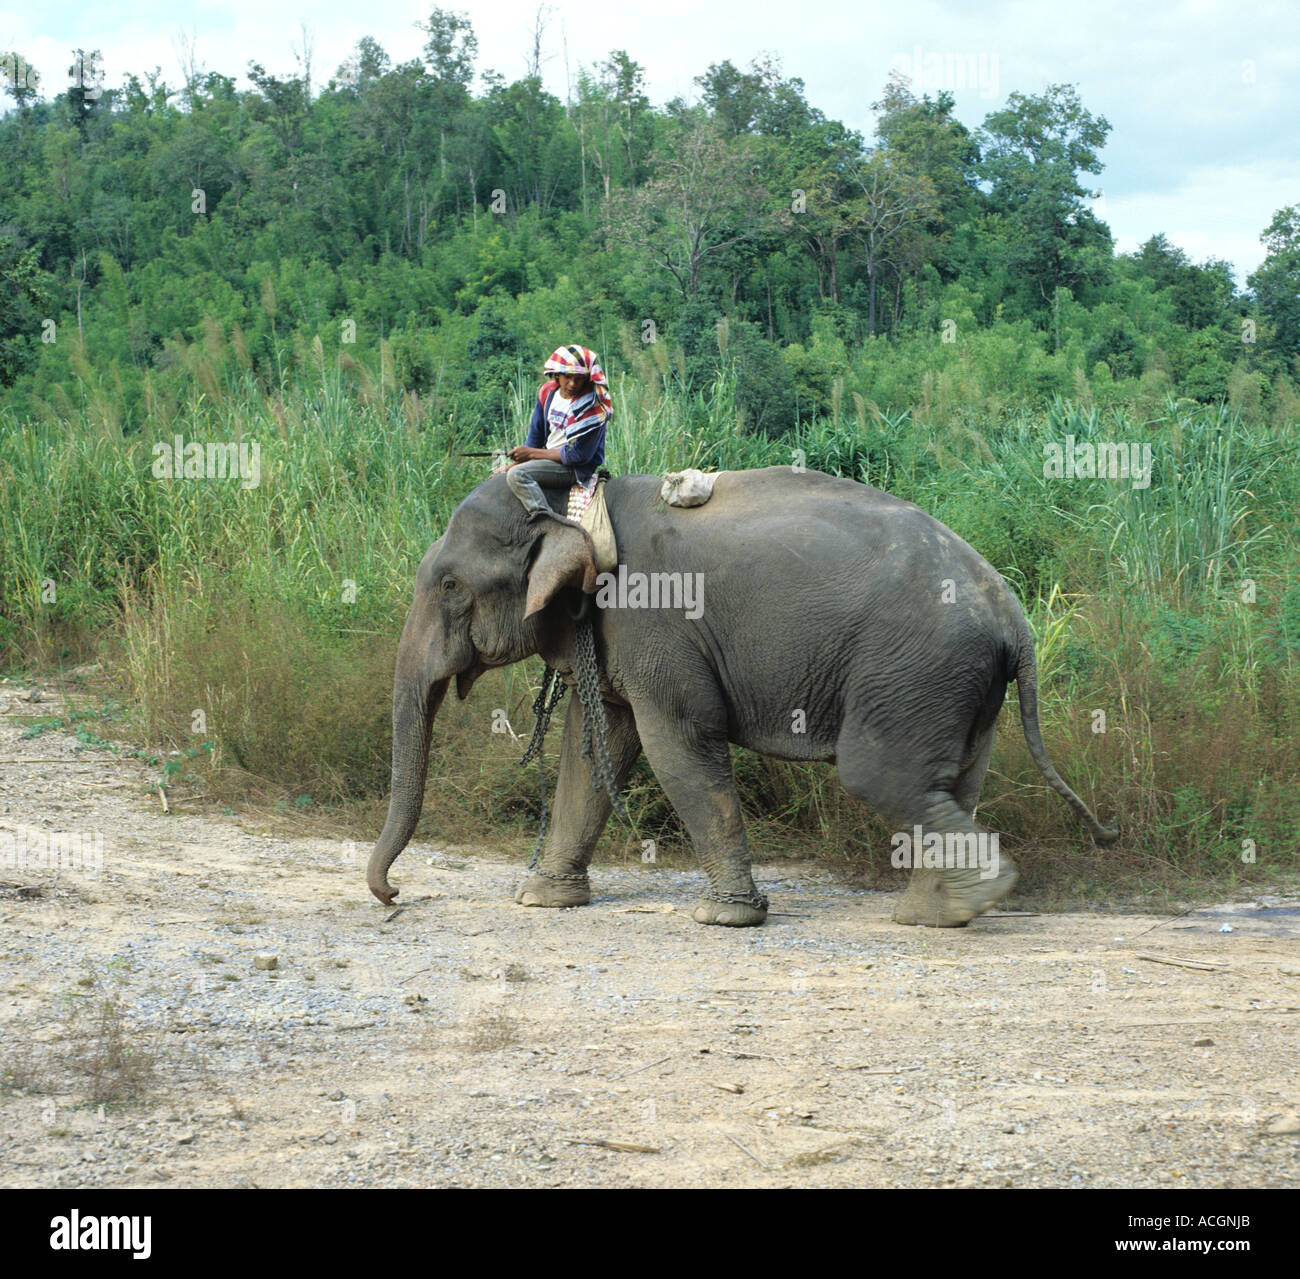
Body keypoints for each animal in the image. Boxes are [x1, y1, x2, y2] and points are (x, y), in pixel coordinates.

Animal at [369, 465, 1118, 925]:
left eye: (449, 585)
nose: (394, 895)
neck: (578, 504)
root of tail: (1014, 618)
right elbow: (595, 744)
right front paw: (541, 901)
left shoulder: (656, 623)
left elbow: (676, 744)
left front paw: (725, 916)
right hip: (960, 681)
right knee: (951, 780)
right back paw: (943, 912)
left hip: (917, 665)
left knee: (879, 775)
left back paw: (975, 895)